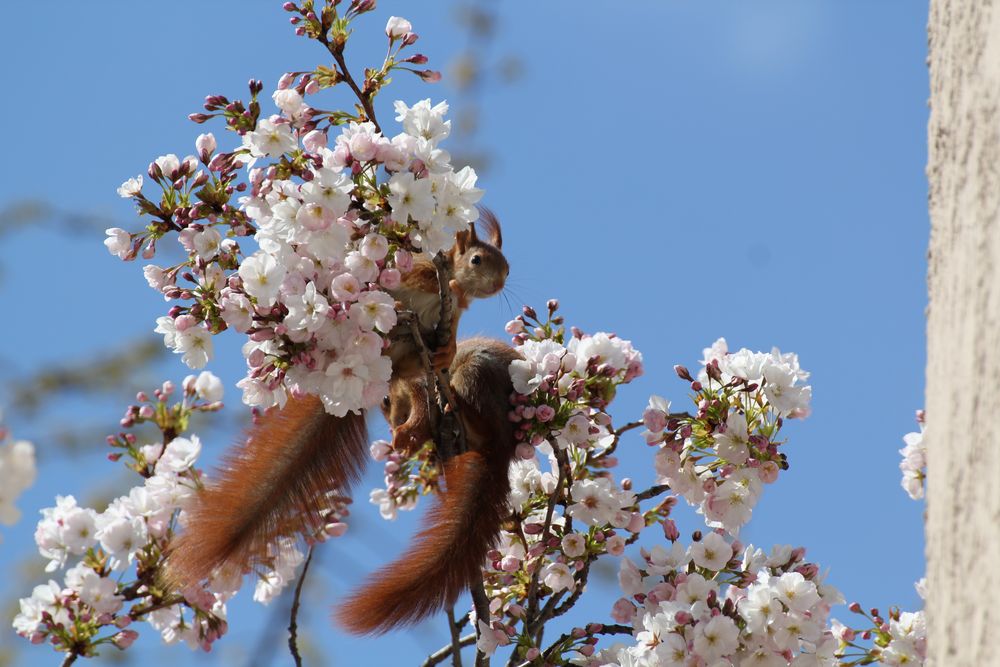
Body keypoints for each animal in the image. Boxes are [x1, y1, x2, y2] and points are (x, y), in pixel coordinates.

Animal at [168, 214, 508, 588]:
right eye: (477, 259)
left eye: (505, 265)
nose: (501, 280)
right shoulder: (418, 272)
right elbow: (416, 279)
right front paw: (443, 287)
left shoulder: (449, 319)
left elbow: (447, 338)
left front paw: (447, 347)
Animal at [338, 336, 520, 636]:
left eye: (386, 400)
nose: (392, 429)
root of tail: (503, 447)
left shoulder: (422, 383)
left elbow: (422, 411)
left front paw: (406, 436)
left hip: (475, 374)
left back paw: (455, 404)